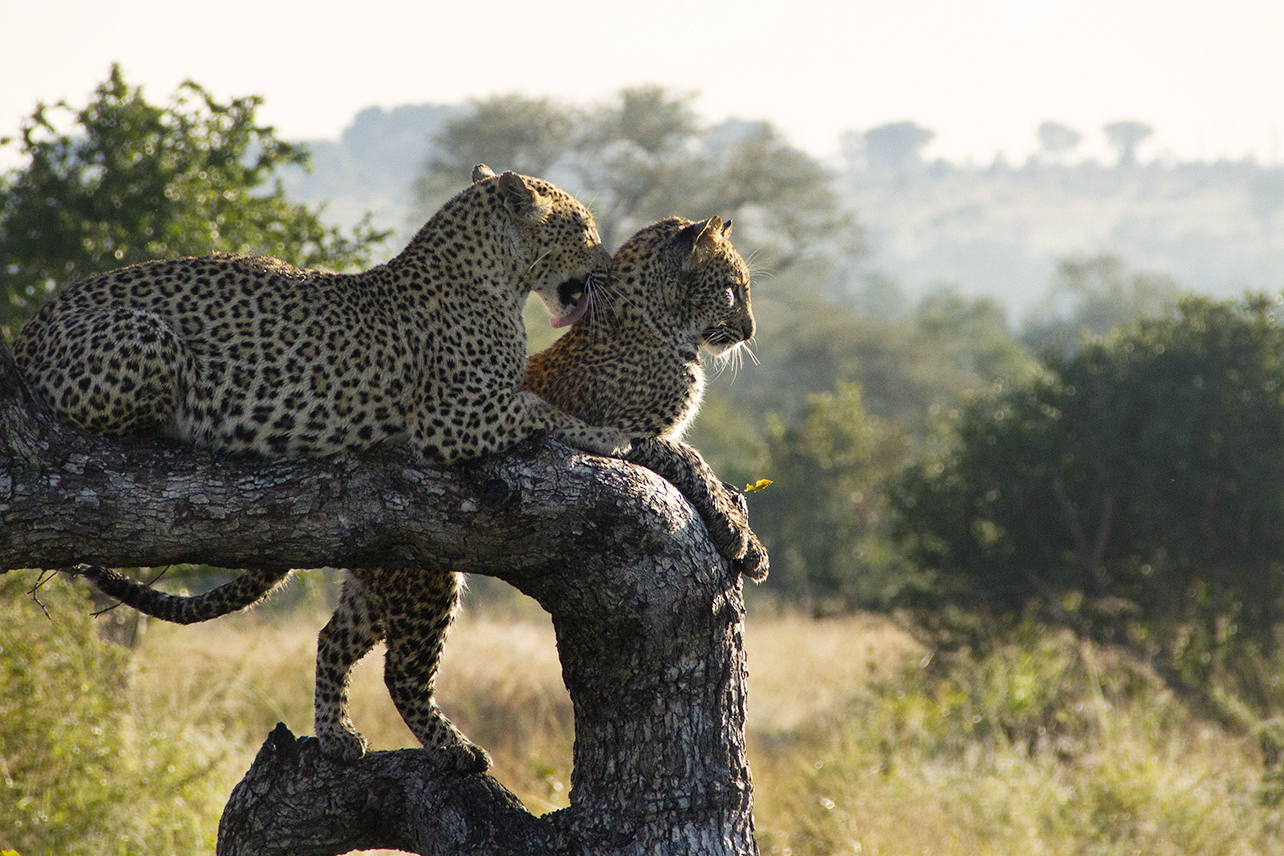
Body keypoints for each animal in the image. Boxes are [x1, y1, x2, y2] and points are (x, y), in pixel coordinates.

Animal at [72, 214, 760, 770]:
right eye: (732, 286)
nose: (750, 329)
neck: (661, 326)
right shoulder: (624, 429)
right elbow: (682, 455)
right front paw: (741, 539)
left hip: (380, 583)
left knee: (332, 639)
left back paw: (338, 739)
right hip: (426, 580)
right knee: (400, 673)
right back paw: (453, 751)